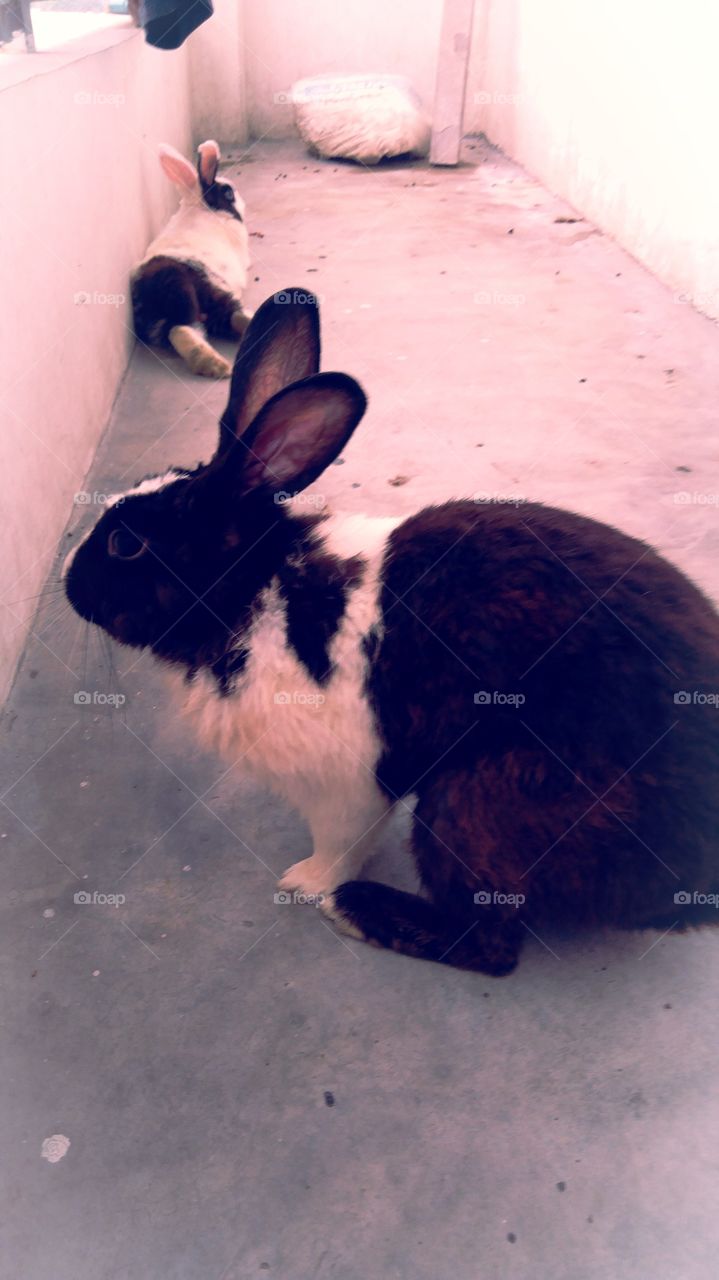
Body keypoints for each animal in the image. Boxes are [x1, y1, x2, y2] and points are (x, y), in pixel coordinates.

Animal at [64, 290, 719, 976]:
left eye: (126, 544)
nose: (67, 579)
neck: (256, 589)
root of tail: (694, 893)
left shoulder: (345, 784)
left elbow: (341, 843)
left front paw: (305, 882)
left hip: (472, 798)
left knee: (491, 944)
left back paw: (357, 910)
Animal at [131, 140, 252, 379]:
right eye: (228, 193)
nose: (242, 201)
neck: (201, 207)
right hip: (188, 288)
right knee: (183, 328)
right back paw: (214, 365)